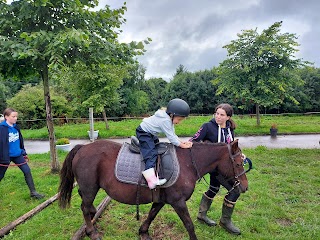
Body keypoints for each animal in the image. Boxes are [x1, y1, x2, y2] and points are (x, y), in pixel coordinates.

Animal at [58, 140, 248, 239]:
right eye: (239, 163)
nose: (244, 187)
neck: (187, 163)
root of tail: (82, 147)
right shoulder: (178, 202)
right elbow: (189, 225)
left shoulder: (162, 199)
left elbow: (152, 214)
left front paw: (143, 232)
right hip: (90, 189)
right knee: (84, 207)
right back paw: (91, 232)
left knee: (86, 205)